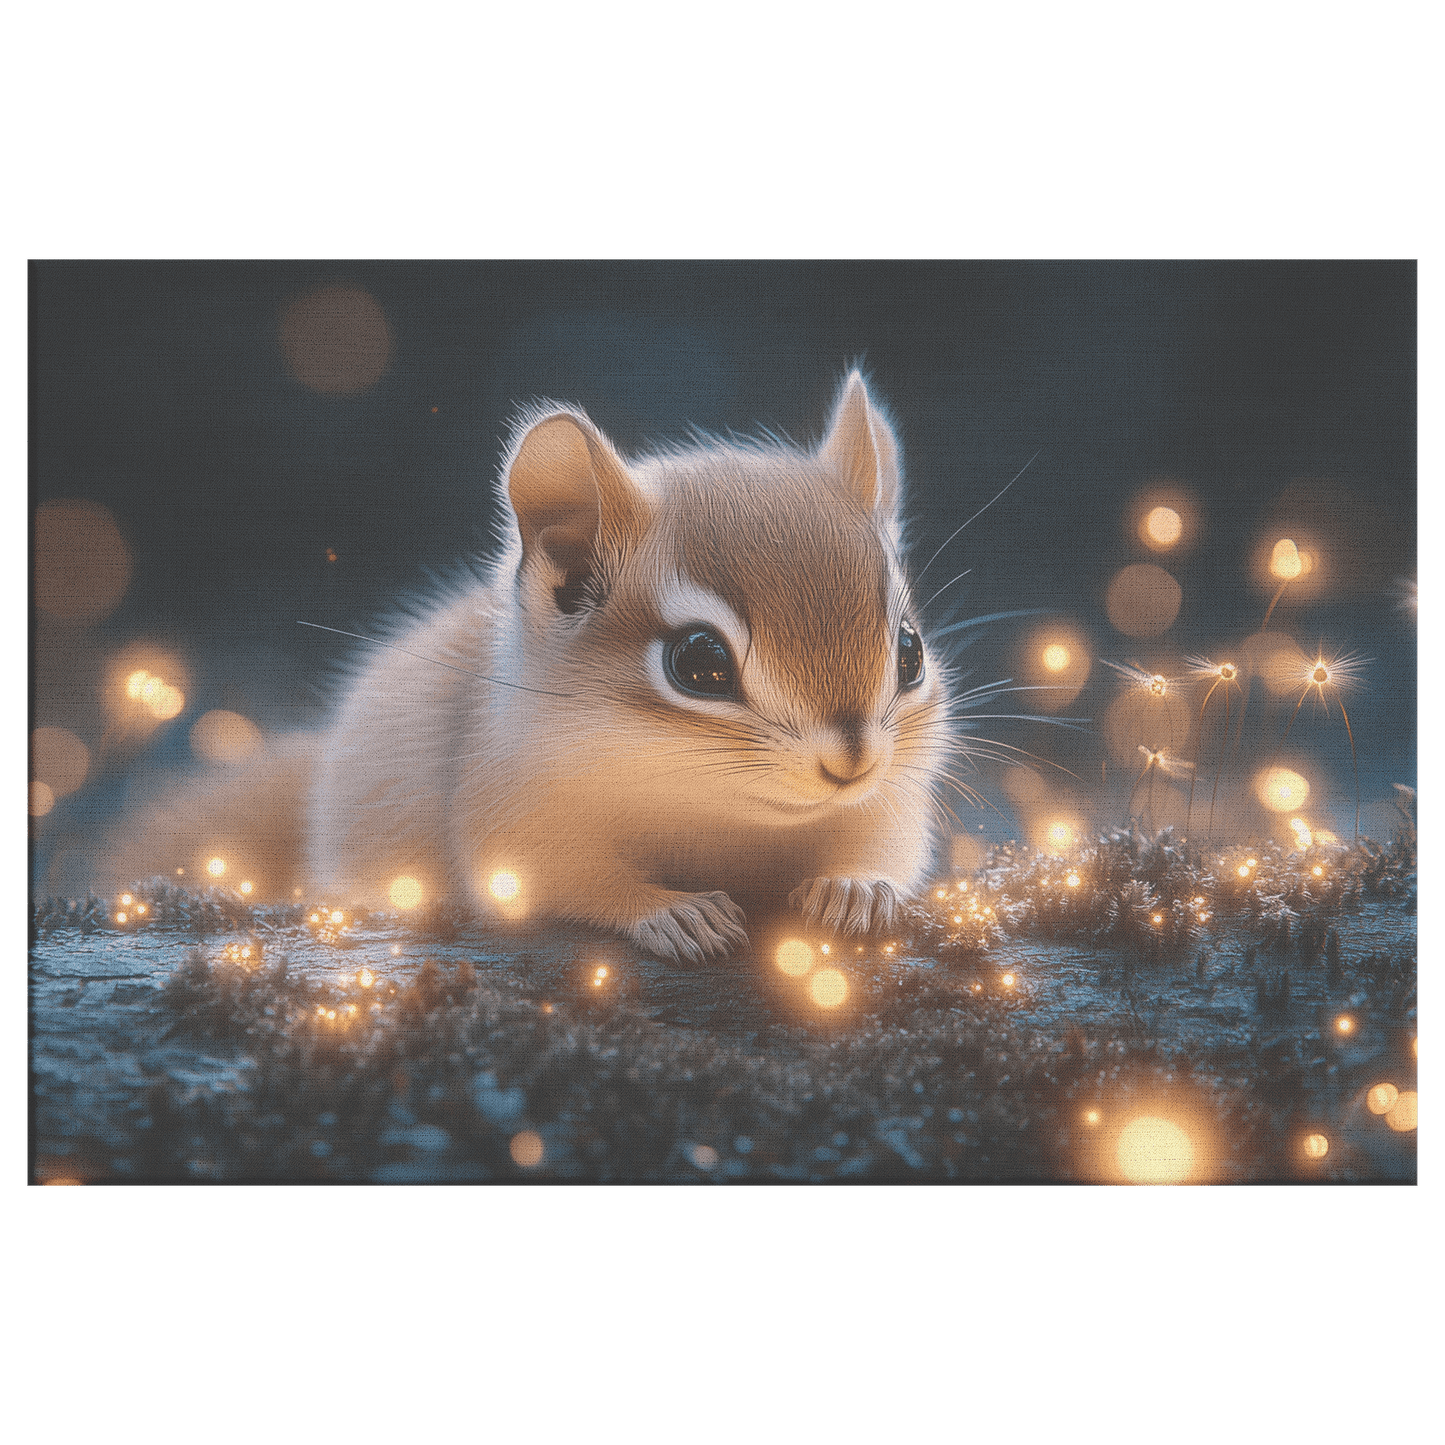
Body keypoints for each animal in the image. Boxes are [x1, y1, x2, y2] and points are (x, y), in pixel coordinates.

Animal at [108, 373, 955, 963]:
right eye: (699, 663)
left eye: (908, 650)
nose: (851, 760)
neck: (724, 813)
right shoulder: (509, 812)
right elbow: (563, 879)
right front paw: (669, 911)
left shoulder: (887, 803)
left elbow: (883, 851)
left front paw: (856, 888)